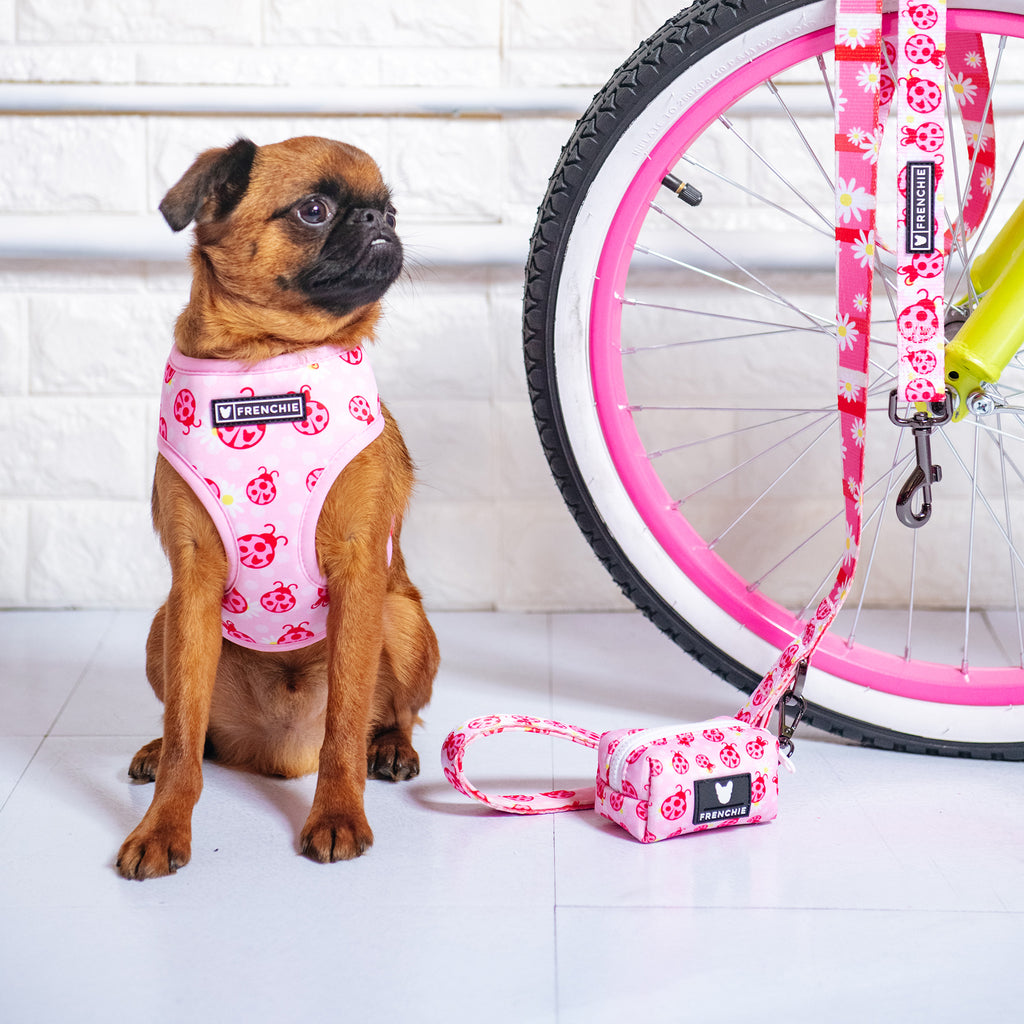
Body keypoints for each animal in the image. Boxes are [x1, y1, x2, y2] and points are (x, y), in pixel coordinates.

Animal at [116, 136, 439, 879]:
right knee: (194, 726)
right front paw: (163, 826)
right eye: (313, 210)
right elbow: (184, 729)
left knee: (395, 713)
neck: (265, 362)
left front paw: (338, 815)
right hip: (162, 625)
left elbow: (344, 723)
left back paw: (391, 748)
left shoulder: (359, 574)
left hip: (402, 616)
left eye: (391, 208)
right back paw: (157, 749)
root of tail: (278, 748)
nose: (380, 219)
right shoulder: (193, 580)